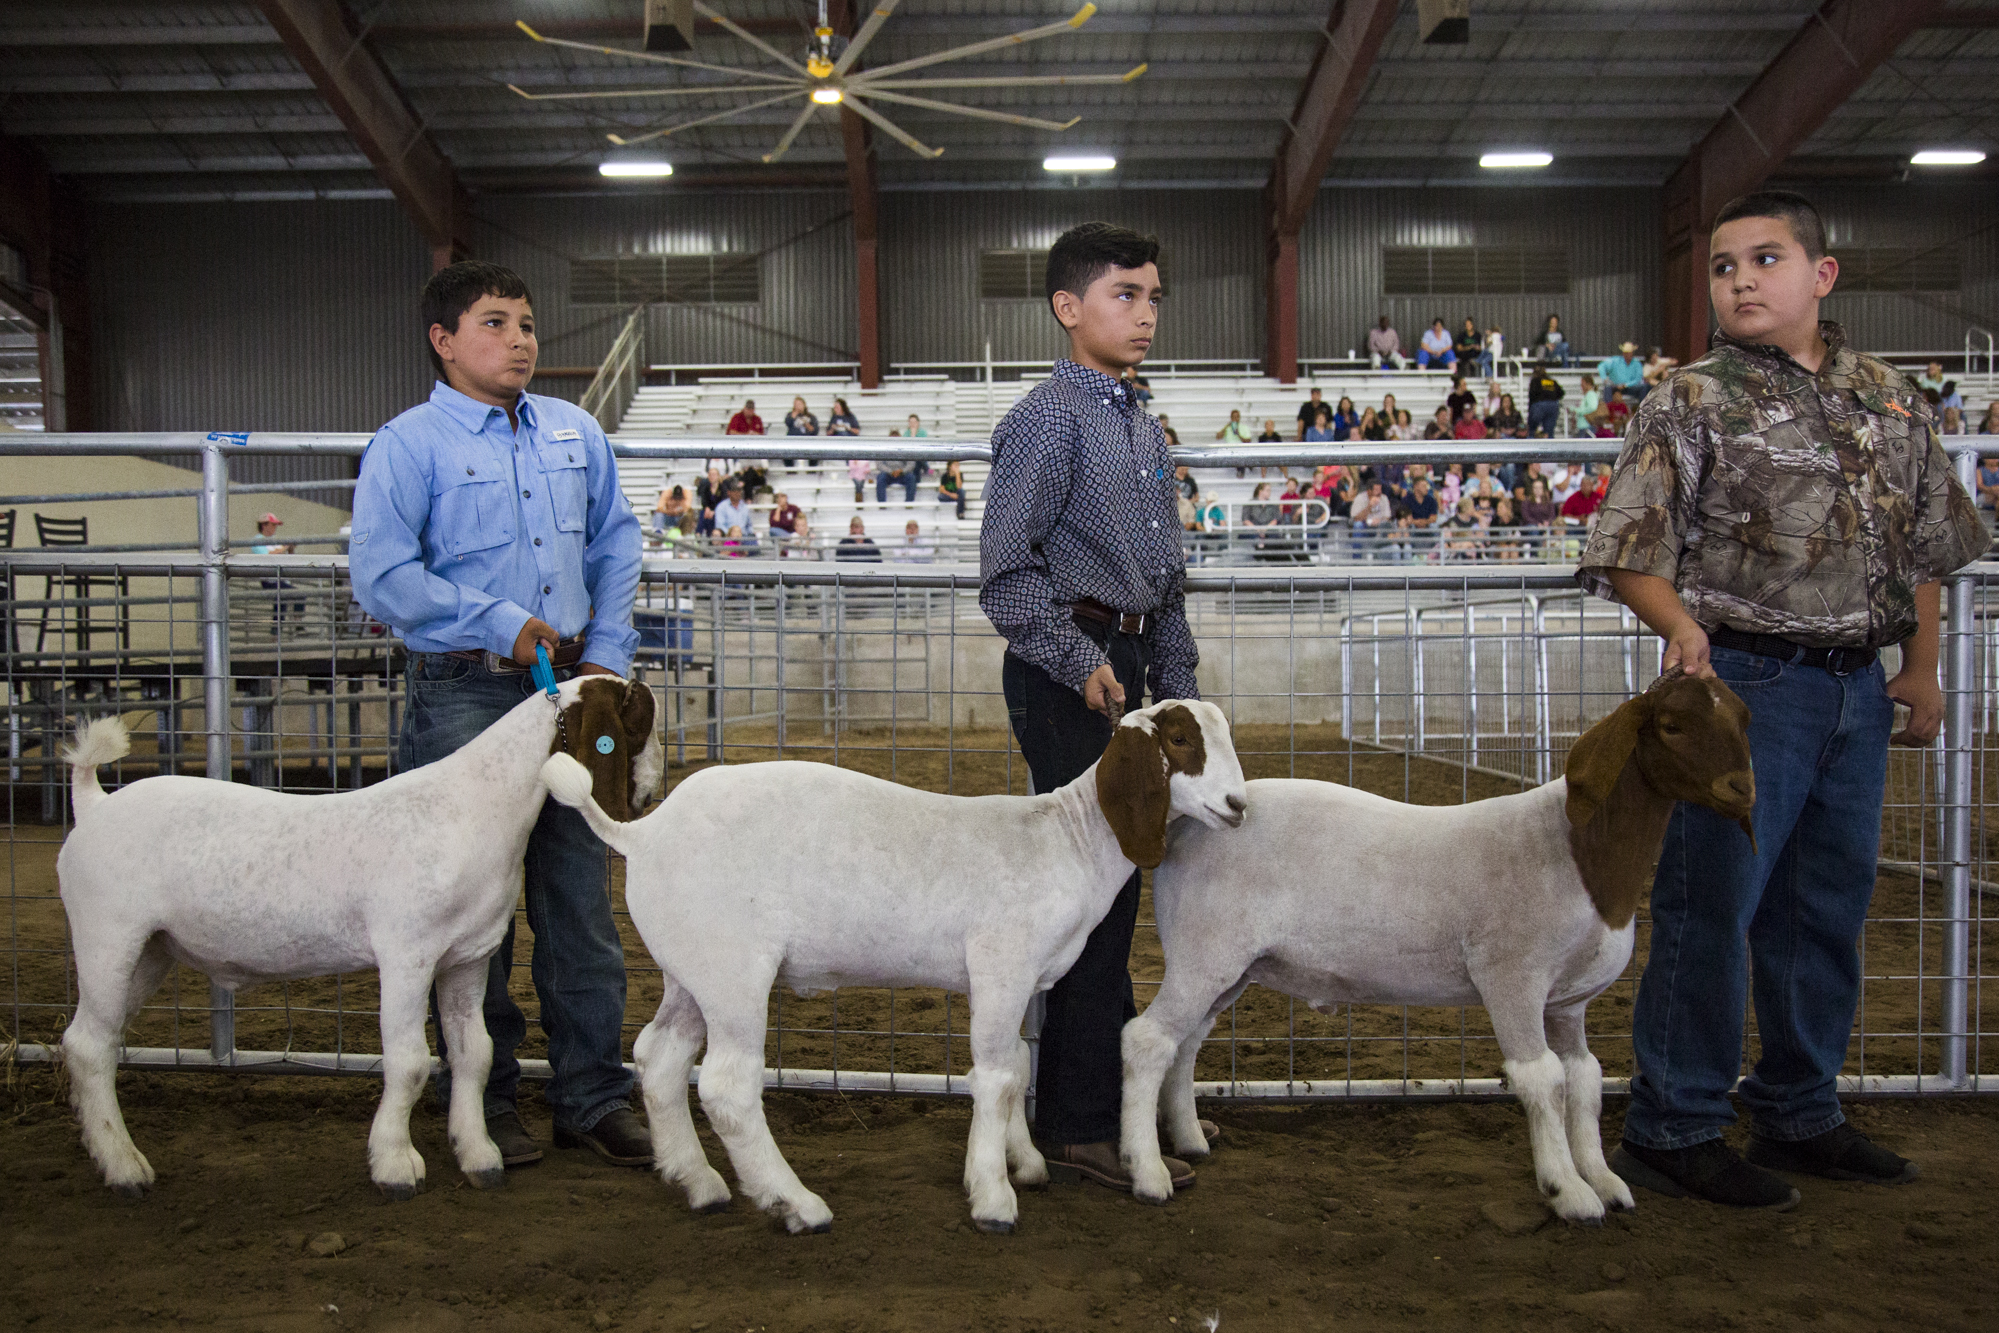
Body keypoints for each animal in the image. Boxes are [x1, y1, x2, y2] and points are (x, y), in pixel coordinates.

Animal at [54, 679, 659, 1199]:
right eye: (636, 712)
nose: (652, 791)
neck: (474, 807)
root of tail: (94, 802)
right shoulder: (407, 954)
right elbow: (410, 1061)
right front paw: (395, 1165)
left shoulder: (467, 958)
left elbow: (475, 1054)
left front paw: (480, 1156)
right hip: (109, 938)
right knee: (90, 1046)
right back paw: (124, 1167)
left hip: (151, 951)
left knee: (91, 1042)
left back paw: (99, 1147)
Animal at [539, 703, 1239, 1239]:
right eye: (1180, 740)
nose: (1237, 805)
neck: (1068, 838)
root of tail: (644, 834)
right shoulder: (1001, 965)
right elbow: (994, 1079)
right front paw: (992, 1198)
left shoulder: (1018, 982)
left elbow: (1016, 1066)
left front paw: (1025, 1164)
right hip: (734, 969)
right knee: (727, 1085)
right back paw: (796, 1204)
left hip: (692, 968)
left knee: (658, 1057)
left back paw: (698, 1182)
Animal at [1119, 683, 1759, 1223]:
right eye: (1672, 726)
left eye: (1741, 715)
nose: (1743, 790)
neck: (1580, 851)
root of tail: (1185, 828)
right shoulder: (1513, 978)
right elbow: (1543, 1080)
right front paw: (1567, 1191)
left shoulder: (1568, 1003)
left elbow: (1583, 1079)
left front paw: (1602, 1180)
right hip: (1205, 953)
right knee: (1147, 1040)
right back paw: (1147, 1172)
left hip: (1226, 966)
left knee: (1185, 1043)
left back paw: (1190, 1141)